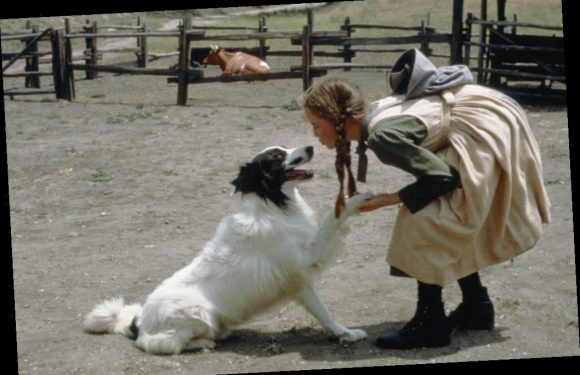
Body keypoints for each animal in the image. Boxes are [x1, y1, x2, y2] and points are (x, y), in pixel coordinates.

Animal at [84, 146, 374, 356]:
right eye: (278, 156)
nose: (311, 146)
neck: (272, 205)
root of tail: (139, 320)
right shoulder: (304, 267)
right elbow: (324, 309)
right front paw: (356, 199)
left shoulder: (303, 278)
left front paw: (347, 334)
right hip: (197, 312)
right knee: (157, 343)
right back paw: (202, 343)